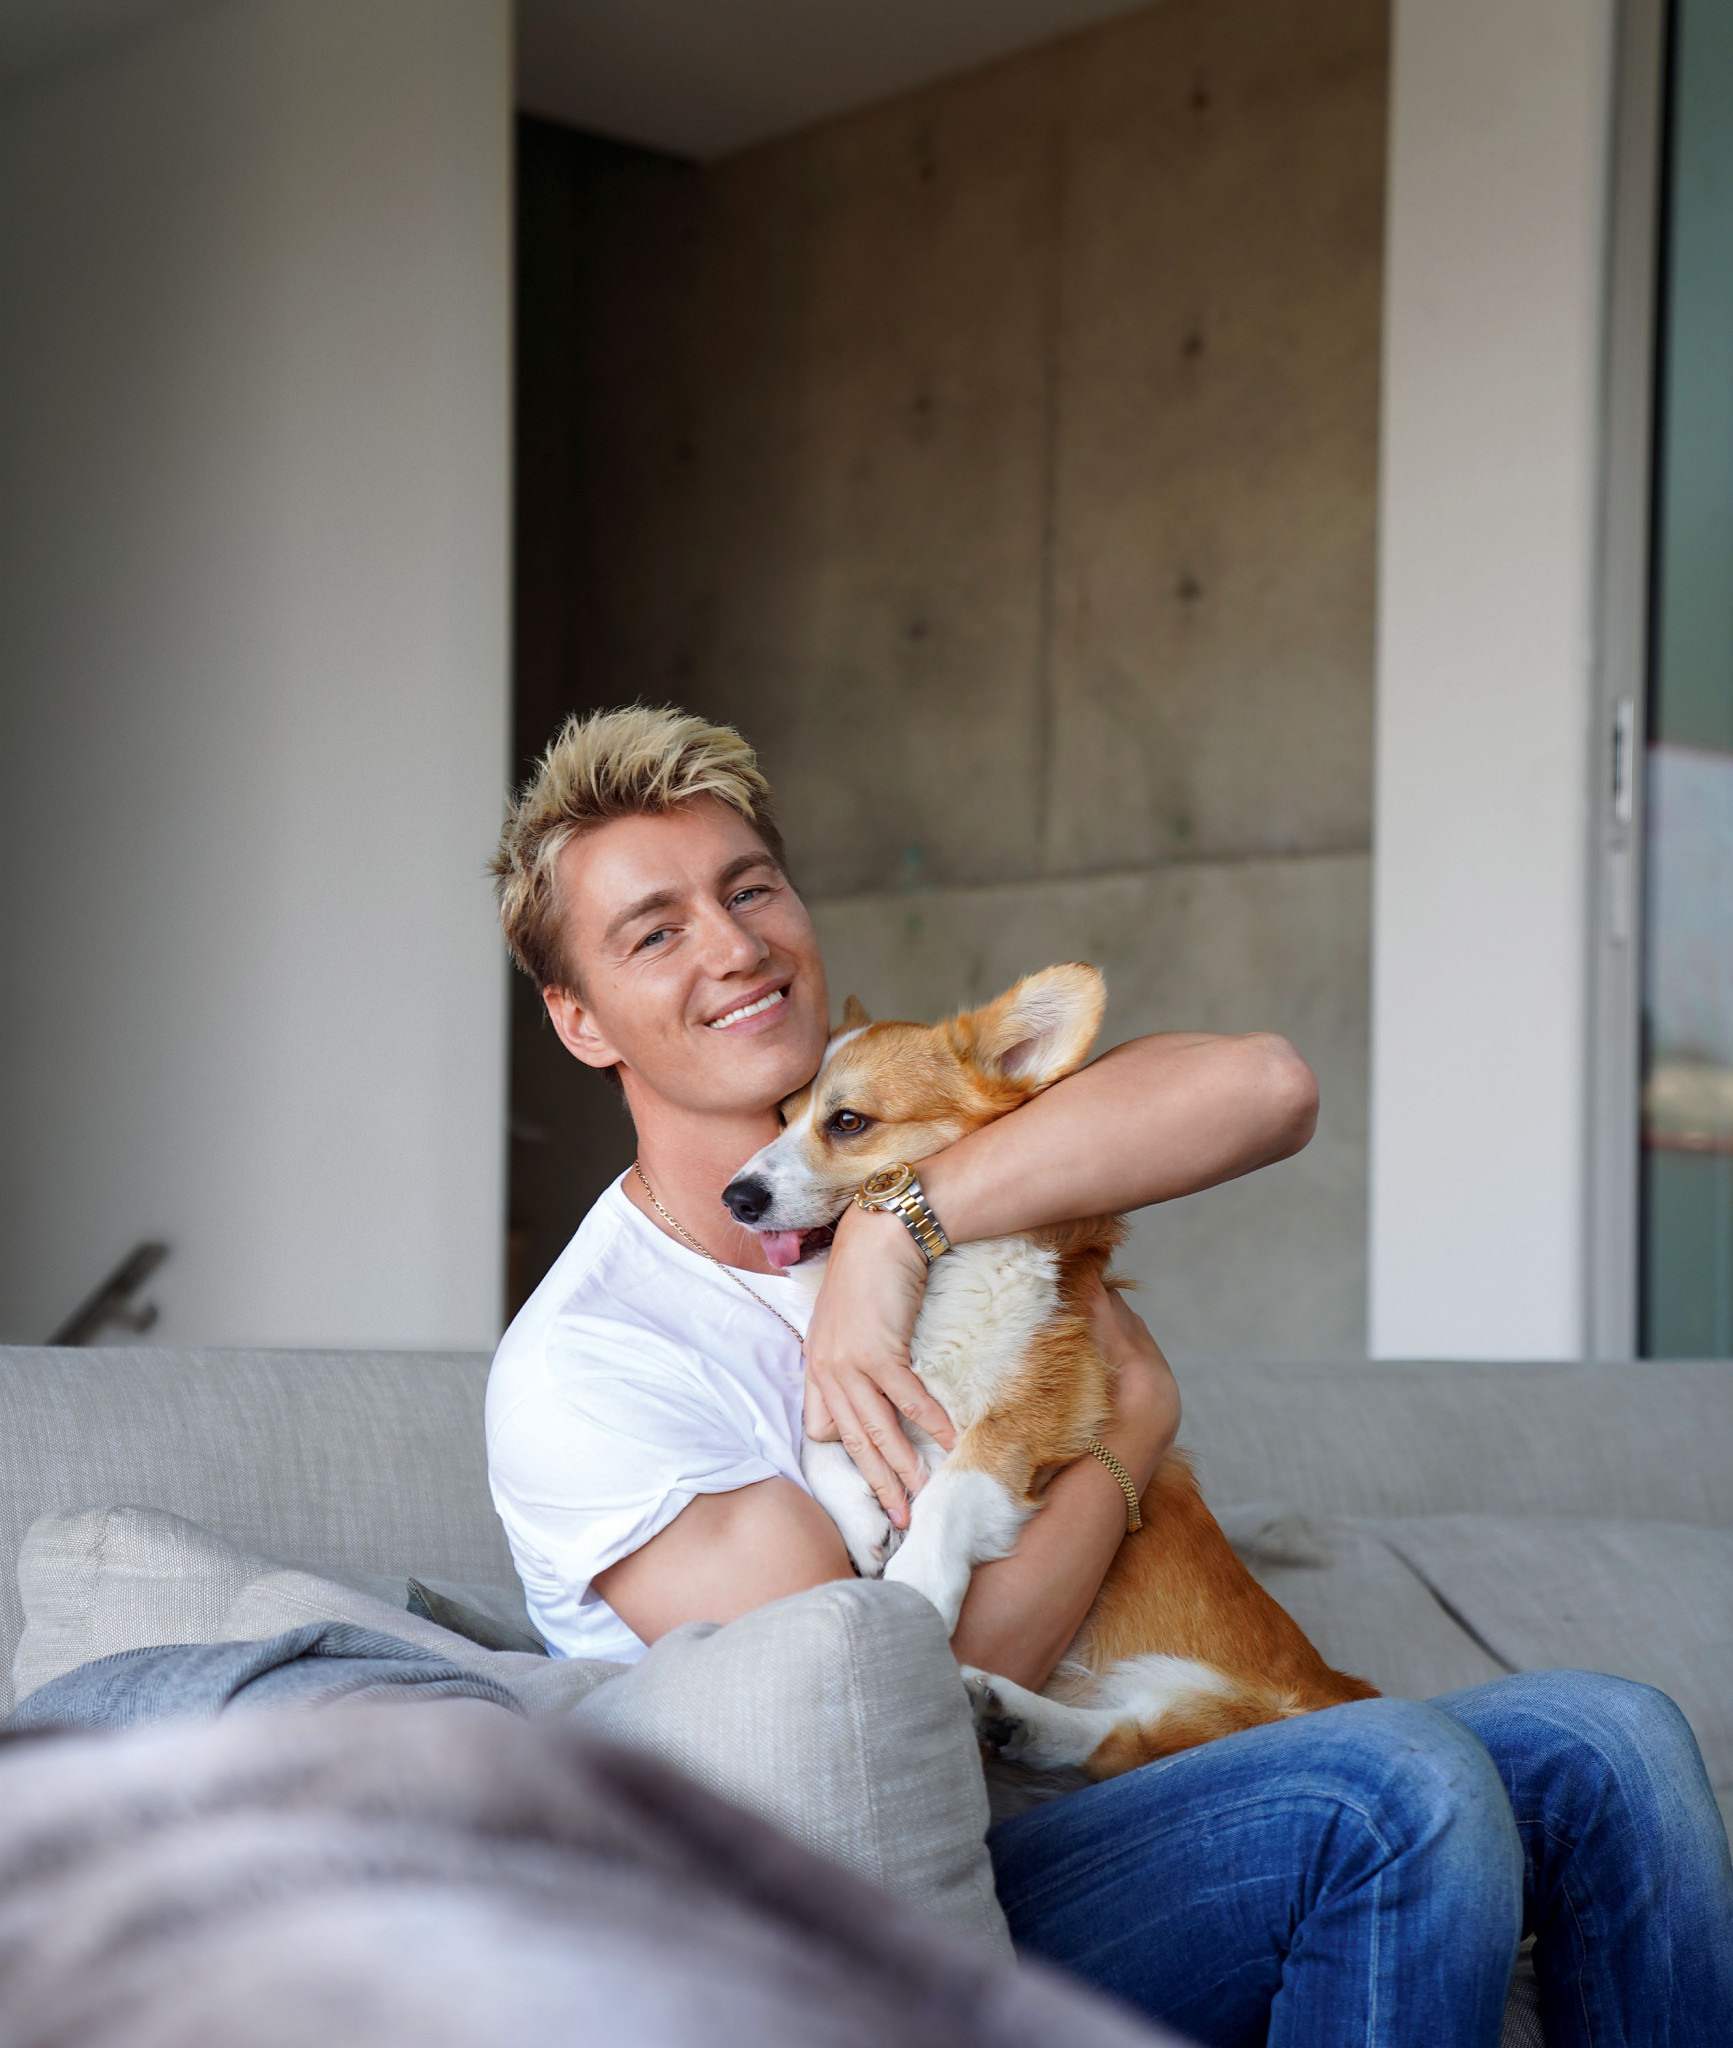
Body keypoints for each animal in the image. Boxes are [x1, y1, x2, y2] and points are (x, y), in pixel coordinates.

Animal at [723, 964, 1377, 1779]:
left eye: (846, 1122)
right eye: (779, 1116)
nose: (734, 1197)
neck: (933, 1294)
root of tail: (1340, 1688)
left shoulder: (1040, 1408)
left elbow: (953, 1488)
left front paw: (916, 1588)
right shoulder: (853, 1382)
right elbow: (819, 1435)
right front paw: (864, 1517)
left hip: (1226, 1708)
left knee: (1137, 1737)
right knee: (1120, 1738)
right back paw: (1008, 1716)